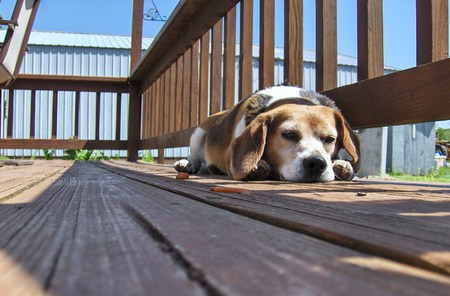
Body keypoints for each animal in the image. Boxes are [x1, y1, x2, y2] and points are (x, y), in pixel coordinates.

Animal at [174, 85, 360, 182]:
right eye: (289, 134)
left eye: (330, 139)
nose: (316, 163)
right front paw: (256, 166)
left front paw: (341, 165)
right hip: (198, 134)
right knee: (194, 157)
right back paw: (186, 164)